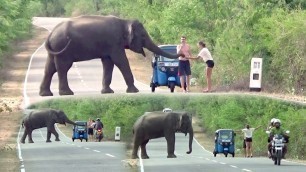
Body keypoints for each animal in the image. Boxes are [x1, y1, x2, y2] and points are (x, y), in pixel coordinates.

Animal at [39, 15, 183, 96]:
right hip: (63, 48)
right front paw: (134, 91)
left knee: (49, 68)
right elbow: (121, 61)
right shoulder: (114, 43)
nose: (181, 50)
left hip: (55, 49)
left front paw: (107, 92)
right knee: (63, 67)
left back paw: (46, 94)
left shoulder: (109, 46)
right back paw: (67, 93)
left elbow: (108, 63)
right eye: (143, 36)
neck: (124, 21)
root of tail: (50, 35)